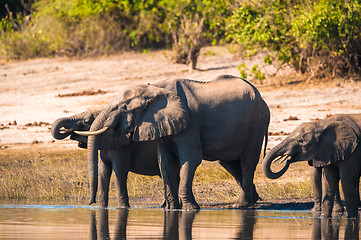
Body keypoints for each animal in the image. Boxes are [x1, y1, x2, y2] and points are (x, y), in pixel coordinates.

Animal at [74, 75, 268, 210]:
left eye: (123, 108)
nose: (90, 202)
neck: (155, 88)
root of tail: (261, 97)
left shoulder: (190, 122)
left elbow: (191, 159)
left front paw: (191, 209)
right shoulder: (163, 124)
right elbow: (165, 161)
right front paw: (172, 209)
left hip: (257, 123)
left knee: (248, 160)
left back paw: (240, 205)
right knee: (230, 163)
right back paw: (253, 199)